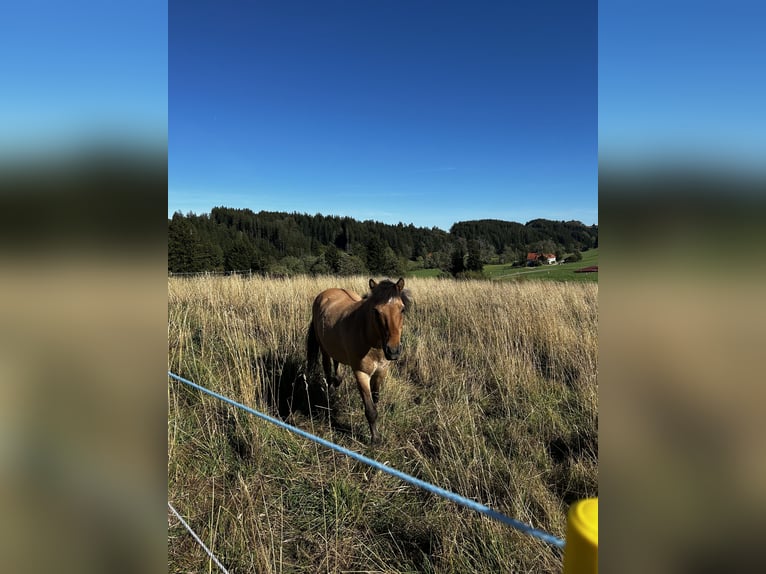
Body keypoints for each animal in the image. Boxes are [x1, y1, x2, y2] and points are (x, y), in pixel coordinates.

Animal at [306, 278, 411, 444]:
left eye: (402, 309)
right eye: (376, 311)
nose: (393, 351)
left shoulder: (381, 372)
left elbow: (375, 399)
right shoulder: (361, 374)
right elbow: (370, 410)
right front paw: (375, 439)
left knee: (337, 368)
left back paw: (336, 383)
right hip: (324, 349)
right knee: (328, 371)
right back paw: (329, 394)